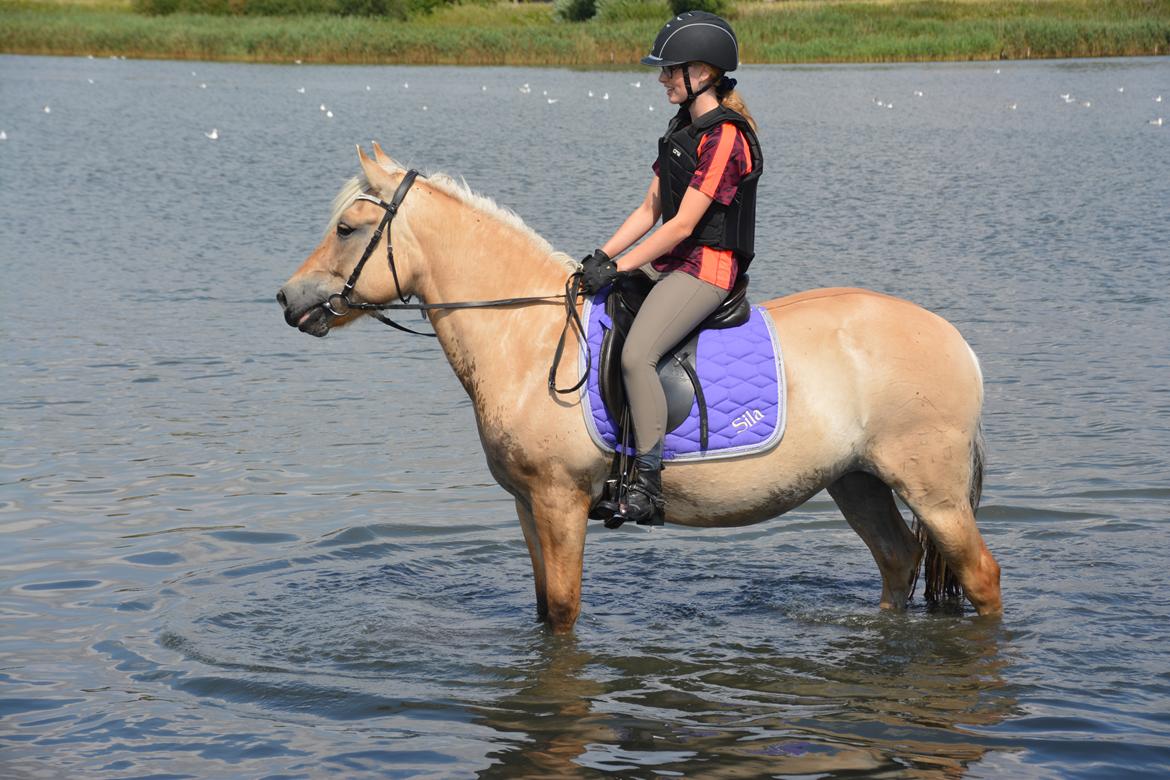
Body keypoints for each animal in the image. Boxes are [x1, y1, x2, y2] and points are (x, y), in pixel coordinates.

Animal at [273, 145, 996, 636]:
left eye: (346, 229)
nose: (287, 298)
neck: (528, 336)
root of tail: (956, 341)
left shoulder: (561, 500)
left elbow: (563, 612)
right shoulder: (528, 505)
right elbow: (543, 611)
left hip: (932, 490)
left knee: (981, 578)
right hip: (857, 480)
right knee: (898, 561)